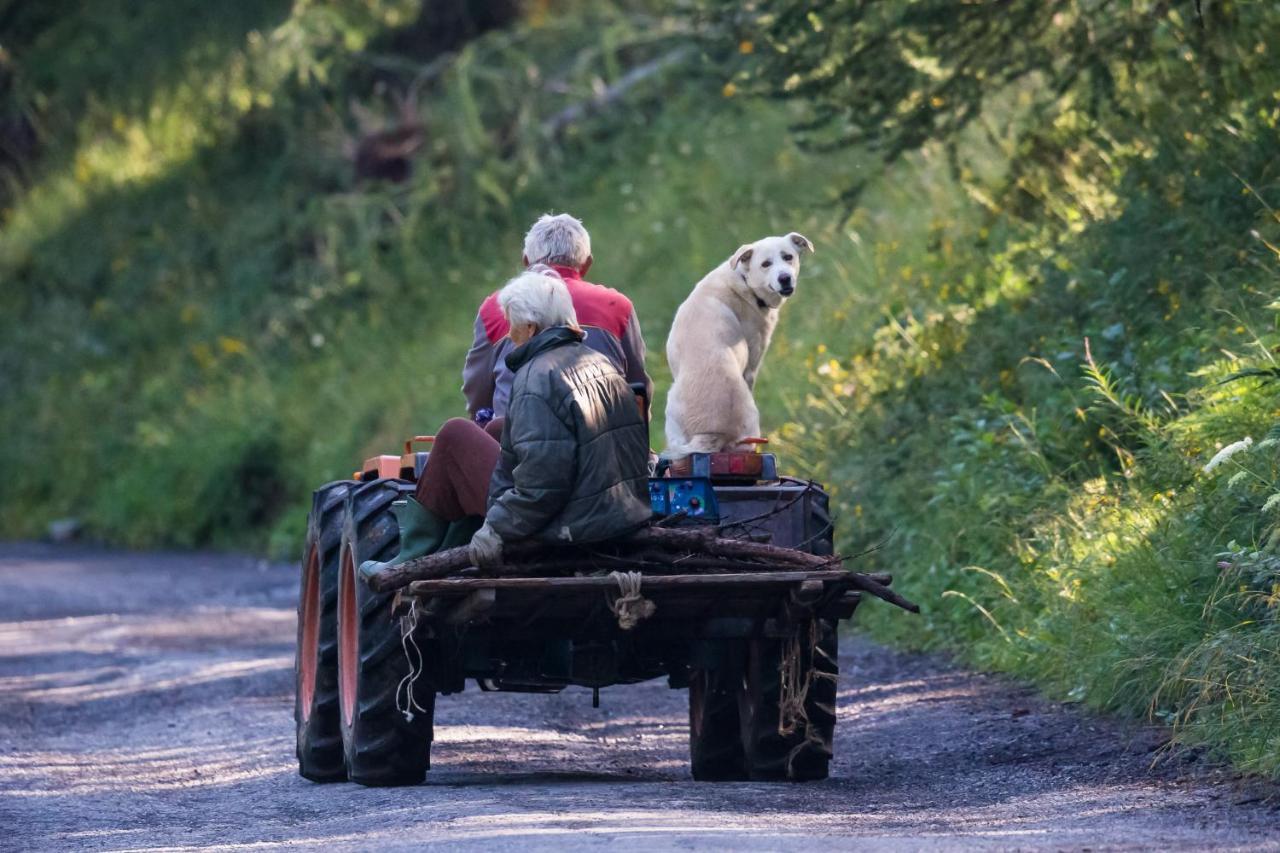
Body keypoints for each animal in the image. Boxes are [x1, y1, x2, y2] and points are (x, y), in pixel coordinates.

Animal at [665, 233, 814, 458]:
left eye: (788, 257)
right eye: (765, 264)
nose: (784, 278)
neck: (745, 283)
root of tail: (710, 434)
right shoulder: (751, 367)